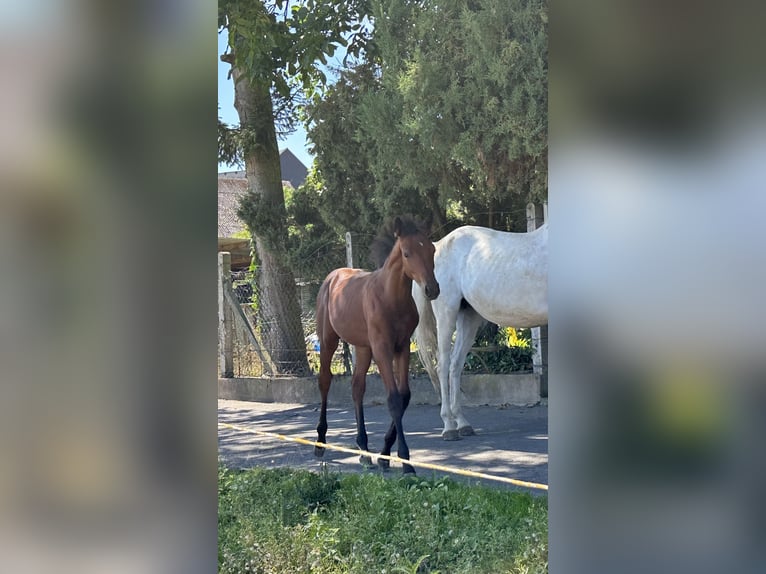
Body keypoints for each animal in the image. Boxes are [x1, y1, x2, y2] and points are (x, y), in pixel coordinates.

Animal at [412, 225, 548, 440]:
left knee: (456, 365)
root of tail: (438, 245)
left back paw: (463, 423)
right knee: (443, 366)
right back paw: (449, 428)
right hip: (446, 313)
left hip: (468, 317)